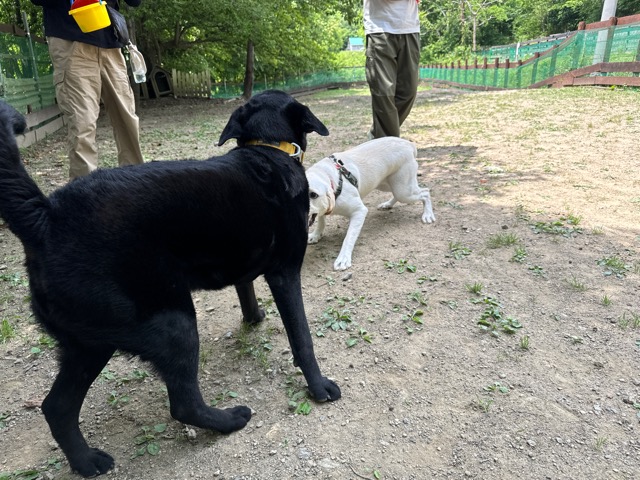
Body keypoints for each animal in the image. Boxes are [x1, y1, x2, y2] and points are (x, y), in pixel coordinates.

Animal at [0, 90, 340, 478]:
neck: (266, 150)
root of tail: (46, 217)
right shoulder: (285, 274)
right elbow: (302, 339)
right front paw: (319, 386)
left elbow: (245, 288)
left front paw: (253, 318)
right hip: (174, 325)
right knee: (183, 404)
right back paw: (230, 420)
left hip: (85, 344)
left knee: (56, 407)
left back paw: (85, 462)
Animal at [306, 137, 435, 270]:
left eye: (313, 194)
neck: (329, 177)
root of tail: (409, 144)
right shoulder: (323, 208)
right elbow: (321, 220)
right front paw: (316, 235)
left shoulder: (359, 211)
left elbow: (349, 237)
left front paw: (343, 258)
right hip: (387, 184)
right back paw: (387, 204)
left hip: (403, 191)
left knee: (425, 192)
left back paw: (427, 215)